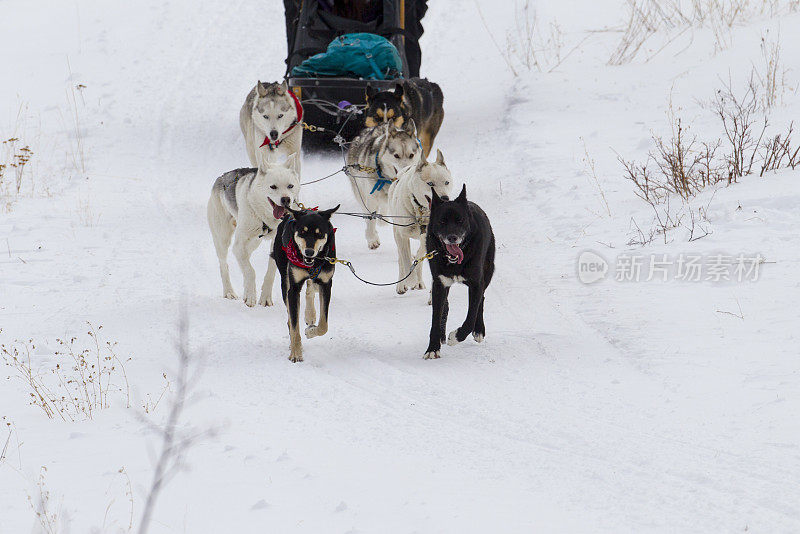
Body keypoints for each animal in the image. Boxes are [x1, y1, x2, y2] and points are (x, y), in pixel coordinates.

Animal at [274, 205, 340, 364]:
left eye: (319, 234)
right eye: (302, 232)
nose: (309, 252)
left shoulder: (326, 284)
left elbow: (324, 325)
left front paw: (310, 331)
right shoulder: (293, 289)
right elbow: (294, 325)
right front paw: (296, 353)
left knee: (310, 288)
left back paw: (310, 315)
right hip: (285, 281)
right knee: (290, 319)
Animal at [424, 185, 494, 360]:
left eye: (459, 220)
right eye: (442, 221)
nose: (452, 237)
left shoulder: (476, 283)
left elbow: (470, 317)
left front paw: (455, 337)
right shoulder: (439, 283)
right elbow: (436, 317)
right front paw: (433, 347)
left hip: (488, 271)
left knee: (481, 300)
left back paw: (479, 330)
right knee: (445, 307)